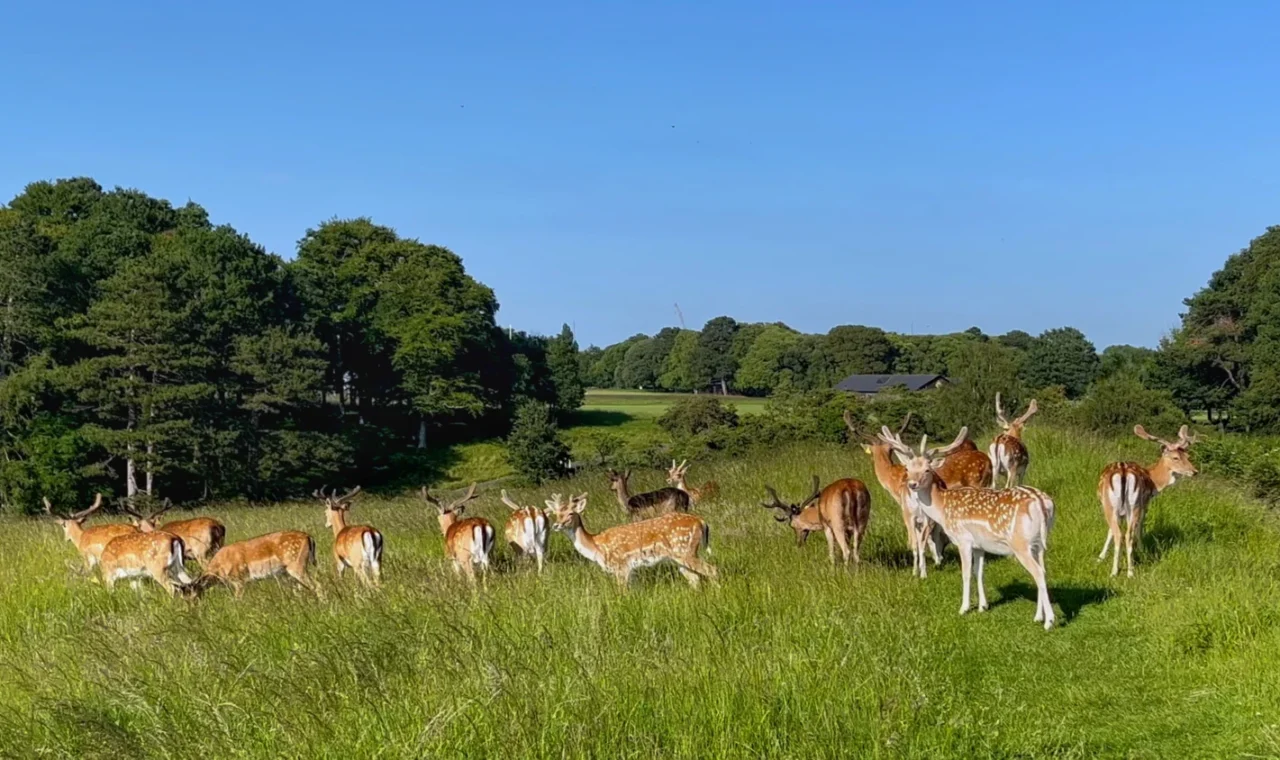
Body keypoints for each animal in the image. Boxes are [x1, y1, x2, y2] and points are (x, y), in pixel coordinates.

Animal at [189, 531, 321, 598]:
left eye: (193, 595)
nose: (191, 611)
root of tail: (309, 537)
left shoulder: (239, 579)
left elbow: (237, 600)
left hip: (297, 565)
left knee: (317, 585)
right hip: (289, 571)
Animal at [545, 492, 716, 588]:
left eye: (571, 513)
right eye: (556, 514)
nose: (556, 525)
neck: (596, 546)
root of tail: (701, 521)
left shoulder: (620, 567)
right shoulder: (631, 571)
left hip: (685, 550)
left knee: (712, 570)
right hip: (679, 558)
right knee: (695, 579)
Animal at [879, 425, 1057, 630]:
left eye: (927, 469)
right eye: (908, 468)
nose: (912, 484)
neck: (942, 507)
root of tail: (1042, 503)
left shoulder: (963, 539)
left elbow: (965, 573)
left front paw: (964, 608)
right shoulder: (979, 546)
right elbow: (978, 573)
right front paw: (982, 606)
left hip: (1020, 544)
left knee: (1038, 572)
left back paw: (1049, 621)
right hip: (1039, 544)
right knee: (1043, 570)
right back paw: (1038, 617)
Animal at [1097, 424, 1199, 578]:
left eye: (1188, 456)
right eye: (1175, 457)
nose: (1194, 471)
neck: (1154, 483)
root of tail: (1123, 472)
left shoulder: (1138, 506)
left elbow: (1116, 531)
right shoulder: (1140, 505)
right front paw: (1102, 556)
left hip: (1120, 506)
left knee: (1122, 534)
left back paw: (1119, 571)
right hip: (1128, 506)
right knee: (1125, 534)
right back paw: (1127, 571)